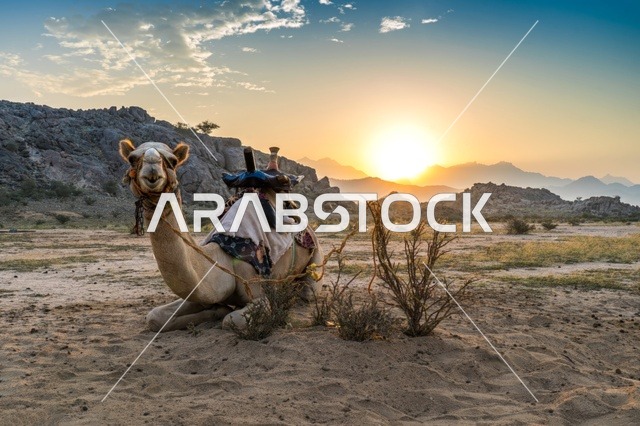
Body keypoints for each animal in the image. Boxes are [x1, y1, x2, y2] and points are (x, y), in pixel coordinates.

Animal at [118, 139, 324, 332]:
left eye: (173, 160)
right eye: (132, 158)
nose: (152, 168)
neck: (223, 257)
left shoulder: (258, 291)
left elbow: (230, 320)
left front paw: (220, 311)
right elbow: (154, 317)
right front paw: (215, 309)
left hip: (316, 257)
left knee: (307, 291)